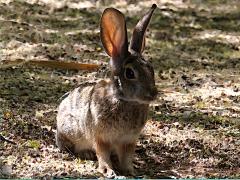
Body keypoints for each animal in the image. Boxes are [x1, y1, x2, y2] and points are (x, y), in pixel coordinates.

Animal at [56, 3, 158, 178]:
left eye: (151, 69)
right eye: (130, 73)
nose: (153, 94)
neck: (124, 100)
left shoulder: (129, 140)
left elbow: (127, 157)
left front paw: (130, 171)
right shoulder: (101, 137)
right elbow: (102, 153)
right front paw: (108, 171)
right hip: (70, 130)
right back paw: (86, 154)